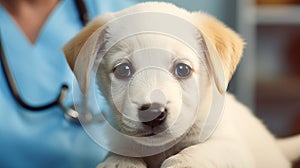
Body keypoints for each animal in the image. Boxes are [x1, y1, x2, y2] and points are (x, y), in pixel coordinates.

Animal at [63, 1, 300, 167]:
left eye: (183, 69)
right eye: (123, 70)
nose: (153, 113)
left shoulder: (231, 147)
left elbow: (195, 152)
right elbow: (120, 153)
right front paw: (120, 162)